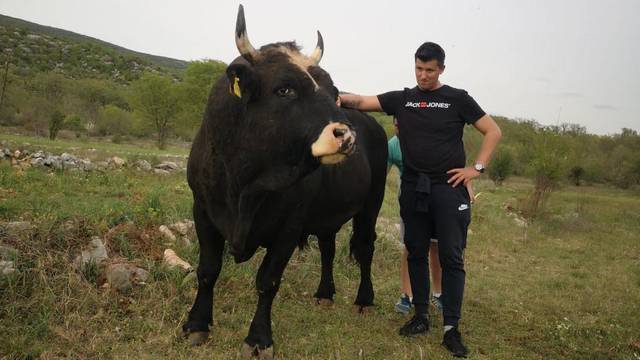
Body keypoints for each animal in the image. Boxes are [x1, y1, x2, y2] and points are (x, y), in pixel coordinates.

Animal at [182, 5, 388, 358]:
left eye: (333, 91)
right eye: (284, 89)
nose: (346, 136)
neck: (244, 183)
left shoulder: (289, 226)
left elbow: (268, 281)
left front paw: (258, 338)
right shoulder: (203, 210)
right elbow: (208, 270)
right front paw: (197, 324)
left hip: (371, 205)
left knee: (364, 247)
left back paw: (364, 299)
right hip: (327, 214)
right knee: (328, 247)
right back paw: (324, 293)